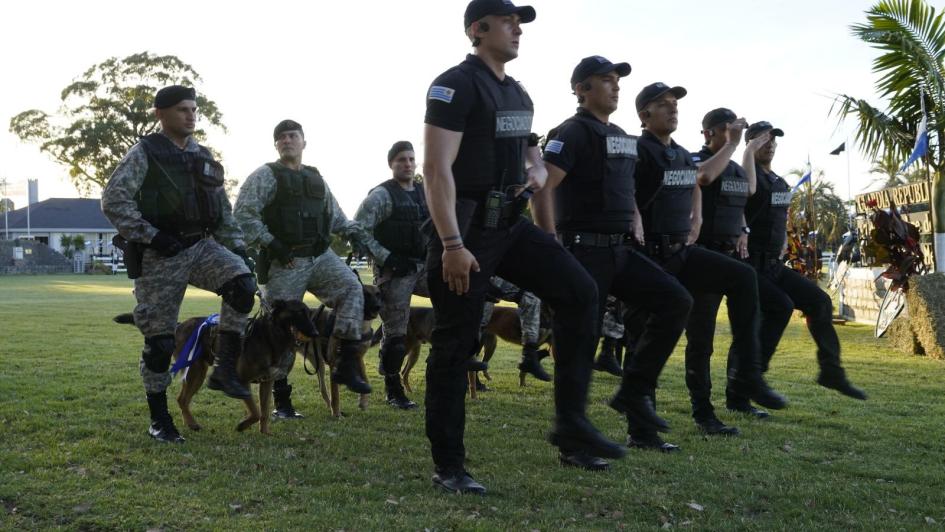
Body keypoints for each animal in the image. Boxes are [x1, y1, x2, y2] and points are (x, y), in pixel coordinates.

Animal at [114, 300, 318, 436]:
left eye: (309, 313)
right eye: (298, 313)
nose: (315, 333)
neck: (269, 337)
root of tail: (179, 325)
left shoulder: (266, 383)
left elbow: (265, 412)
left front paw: (265, 432)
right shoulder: (242, 382)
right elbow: (256, 411)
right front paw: (243, 425)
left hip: (198, 372)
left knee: (183, 399)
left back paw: (190, 424)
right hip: (196, 372)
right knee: (182, 399)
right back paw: (191, 424)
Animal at [298, 284, 380, 418]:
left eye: (378, 294)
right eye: (366, 294)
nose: (378, 306)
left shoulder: (359, 357)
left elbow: (365, 378)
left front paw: (363, 402)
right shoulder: (333, 363)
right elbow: (335, 394)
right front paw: (336, 414)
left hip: (318, 363)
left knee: (322, 388)